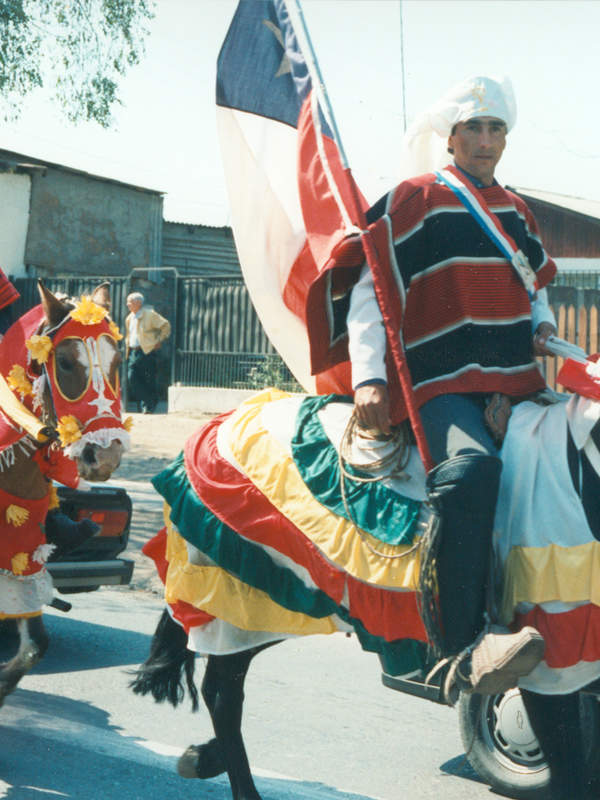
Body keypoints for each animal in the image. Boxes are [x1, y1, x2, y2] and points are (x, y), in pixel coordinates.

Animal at [132, 370, 600, 800]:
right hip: (242, 599)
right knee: (223, 693)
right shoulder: (553, 653)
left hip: (280, 601)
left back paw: (206, 756)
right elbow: (565, 757)